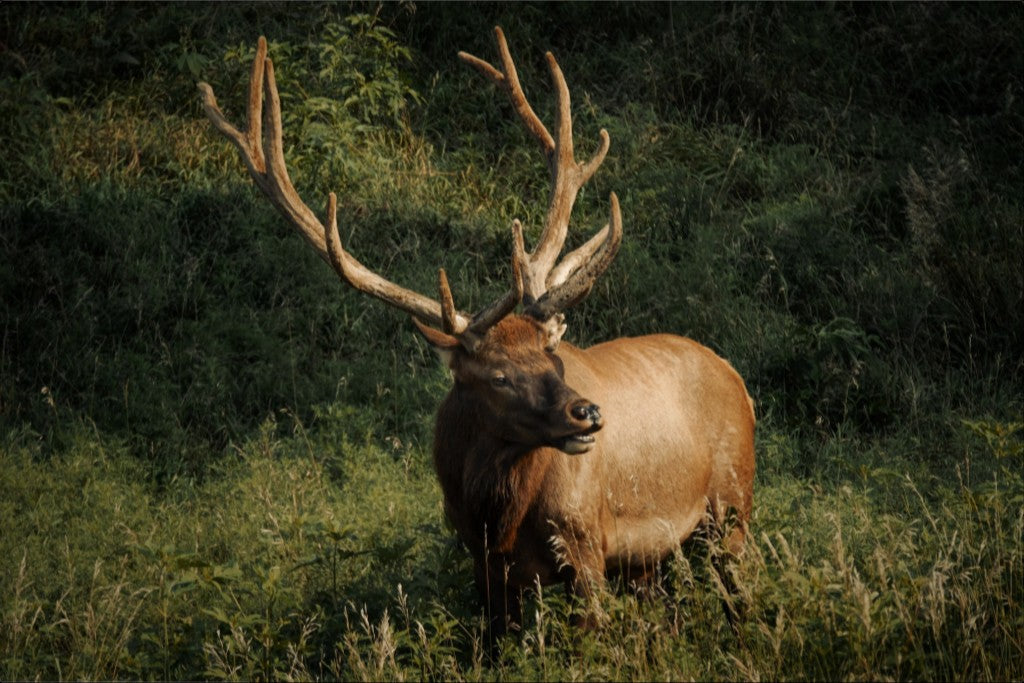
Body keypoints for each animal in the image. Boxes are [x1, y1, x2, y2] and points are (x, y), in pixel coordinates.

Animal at [197, 26, 753, 643]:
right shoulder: (482, 565)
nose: (588, 413)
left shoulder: (585, 543)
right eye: (498, 376)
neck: (498, 517)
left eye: (554, 360)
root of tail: (736, 376)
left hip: (733, 504)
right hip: (652, 557)